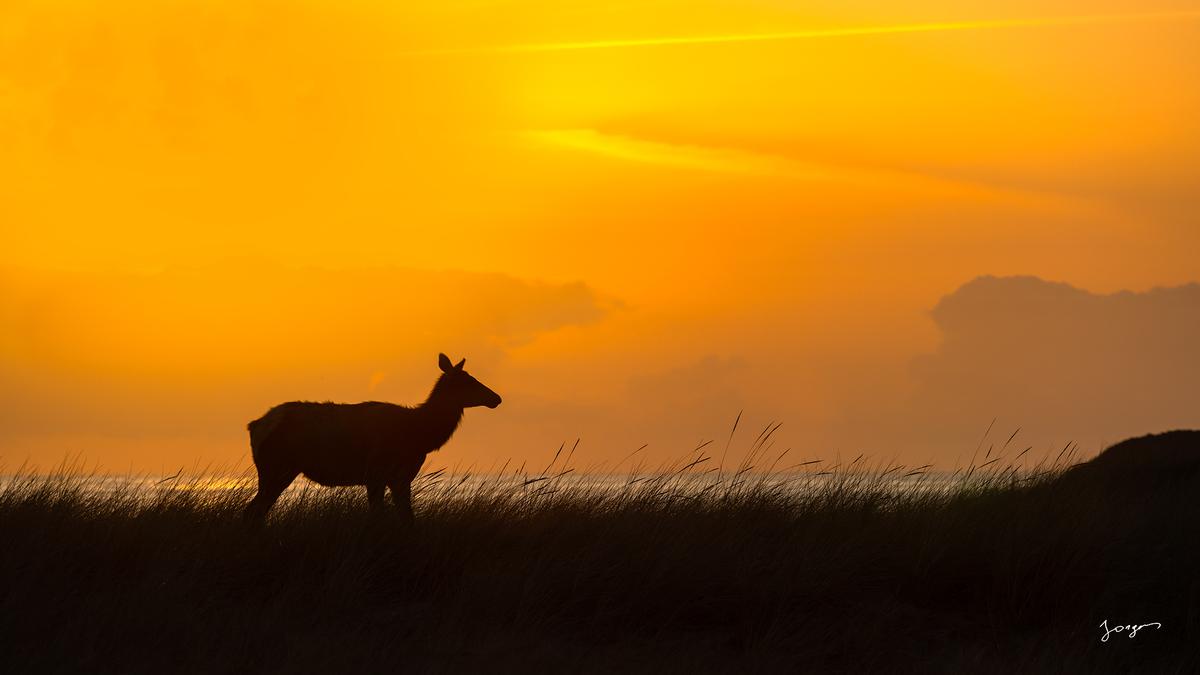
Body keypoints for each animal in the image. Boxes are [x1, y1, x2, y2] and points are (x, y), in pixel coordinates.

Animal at [243, 353, 501, 524]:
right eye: (468, 381)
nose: (496, 398)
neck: (419, 434)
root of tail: (254, 426)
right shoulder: (376, 472)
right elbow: (379, 517)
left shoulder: (400, 477)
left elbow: (407, 518)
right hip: (276, 468)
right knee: (253, 510)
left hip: (277, 471)